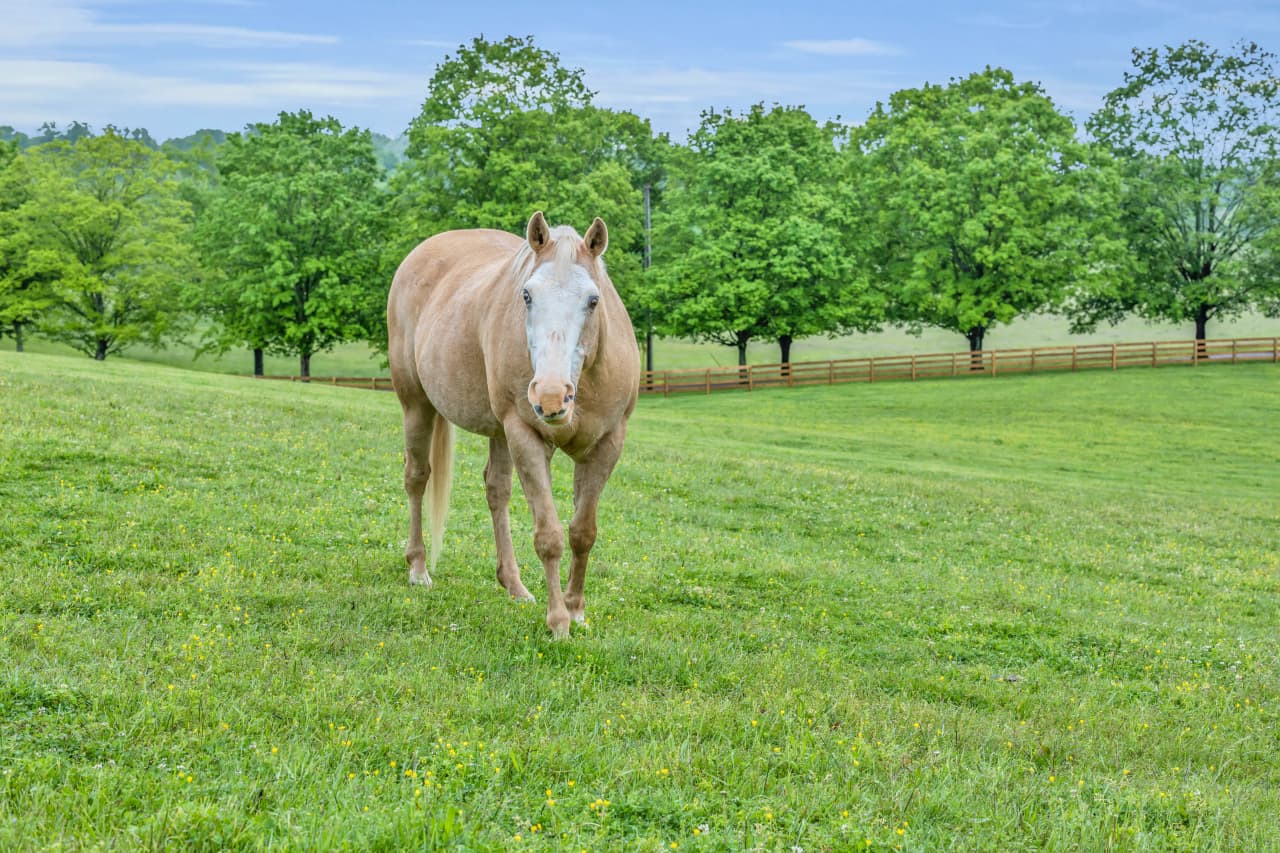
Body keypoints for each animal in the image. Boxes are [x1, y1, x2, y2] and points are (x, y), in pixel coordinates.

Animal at [387, 212, 640, 638]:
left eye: (593, 300)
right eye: (527, 296)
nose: (551, 397)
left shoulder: (608, 444)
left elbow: (582, 532)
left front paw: (576, 609)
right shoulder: (525, 436)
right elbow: (549, 535)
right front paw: (558, 622)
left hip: (498, 433)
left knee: (496, 491)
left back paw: (515, 586)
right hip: (418, 405)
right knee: (417, 478)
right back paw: (419, 568)